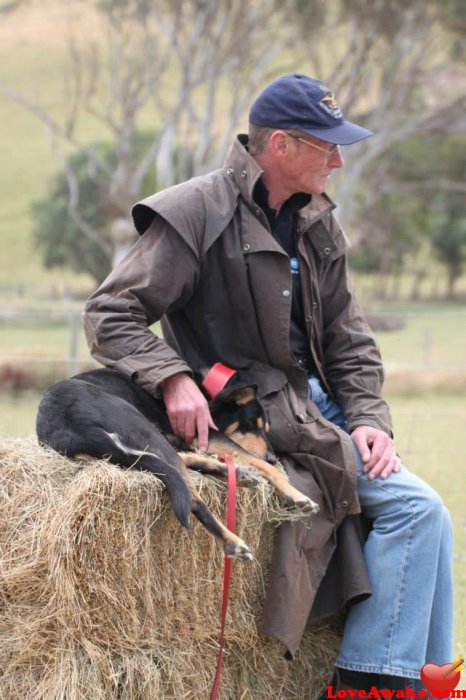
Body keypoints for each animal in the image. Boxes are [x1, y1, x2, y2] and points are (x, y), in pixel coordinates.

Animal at [36, 366, 318, 556]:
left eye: (265, 428)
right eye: (252, 424)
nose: (272, 454)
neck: (208, 393)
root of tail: (67, 426)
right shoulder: (208, 433)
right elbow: (267, 467)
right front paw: (298, 495)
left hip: (149, 440)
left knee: (178, 467)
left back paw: (237, 473)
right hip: (143, 429)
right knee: (191, 496)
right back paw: (232, 540)